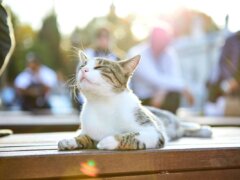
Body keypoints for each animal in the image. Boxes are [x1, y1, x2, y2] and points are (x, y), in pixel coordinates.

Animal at [58, 51, 212, 150]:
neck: (102, 102)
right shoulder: (90, 130)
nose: (83, 70)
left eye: (100, 67)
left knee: (185, 128)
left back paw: (203, 129)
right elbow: (84, 136)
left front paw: (108, 141)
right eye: (82, 65)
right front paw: (70, 140)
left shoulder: (154, 133)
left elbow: (131, 136)